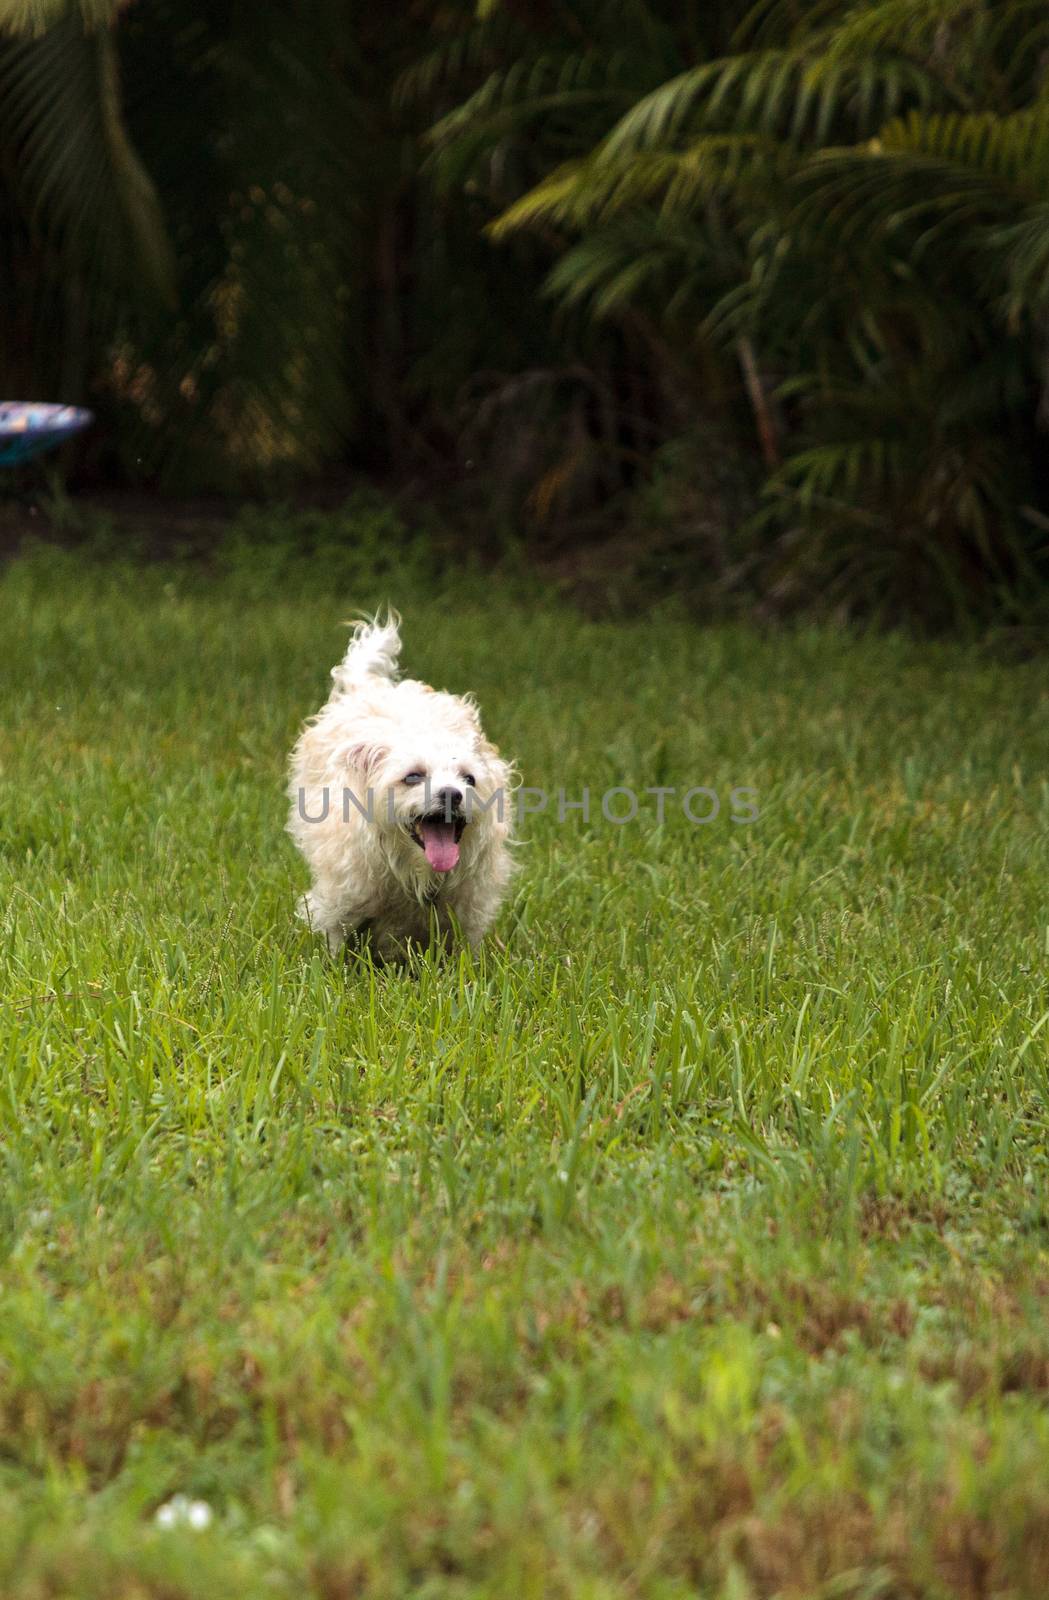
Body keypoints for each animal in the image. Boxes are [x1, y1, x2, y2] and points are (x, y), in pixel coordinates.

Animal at [286, 611, 514, 960]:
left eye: (469, 779)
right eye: (413, 776)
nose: (452, 795)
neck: (417, 874)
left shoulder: (466, 913)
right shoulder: (341, 899)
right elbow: (334, 945)